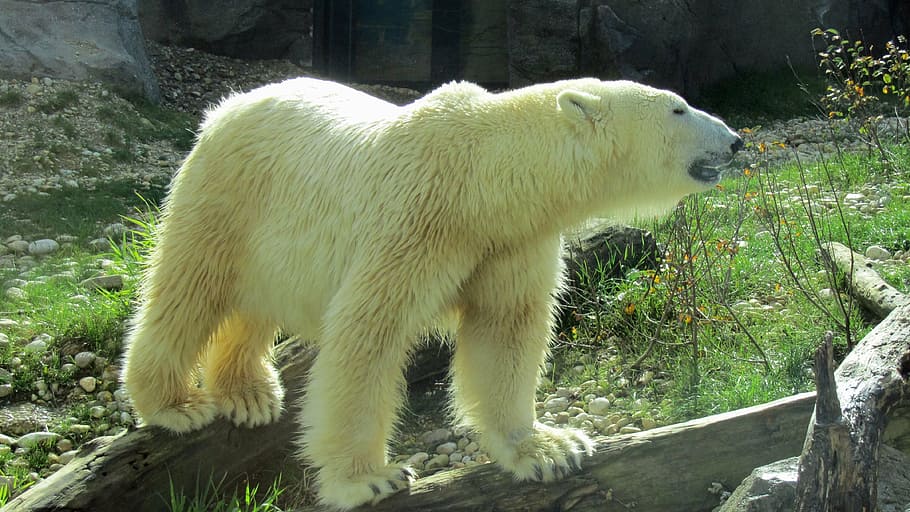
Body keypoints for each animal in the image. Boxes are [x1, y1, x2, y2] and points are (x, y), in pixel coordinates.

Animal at [122, 77, 742, 509]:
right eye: (678, 107)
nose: (736, 141)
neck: (482, 180)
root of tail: (228, 104)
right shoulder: (415, 220)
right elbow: (367, 336)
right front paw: (369, 479)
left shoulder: (510, 241)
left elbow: (505, 330)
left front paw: (548, 449)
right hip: (228, 192)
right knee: (188, 286)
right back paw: (175, 403)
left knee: (250, 305)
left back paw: (248, 394)